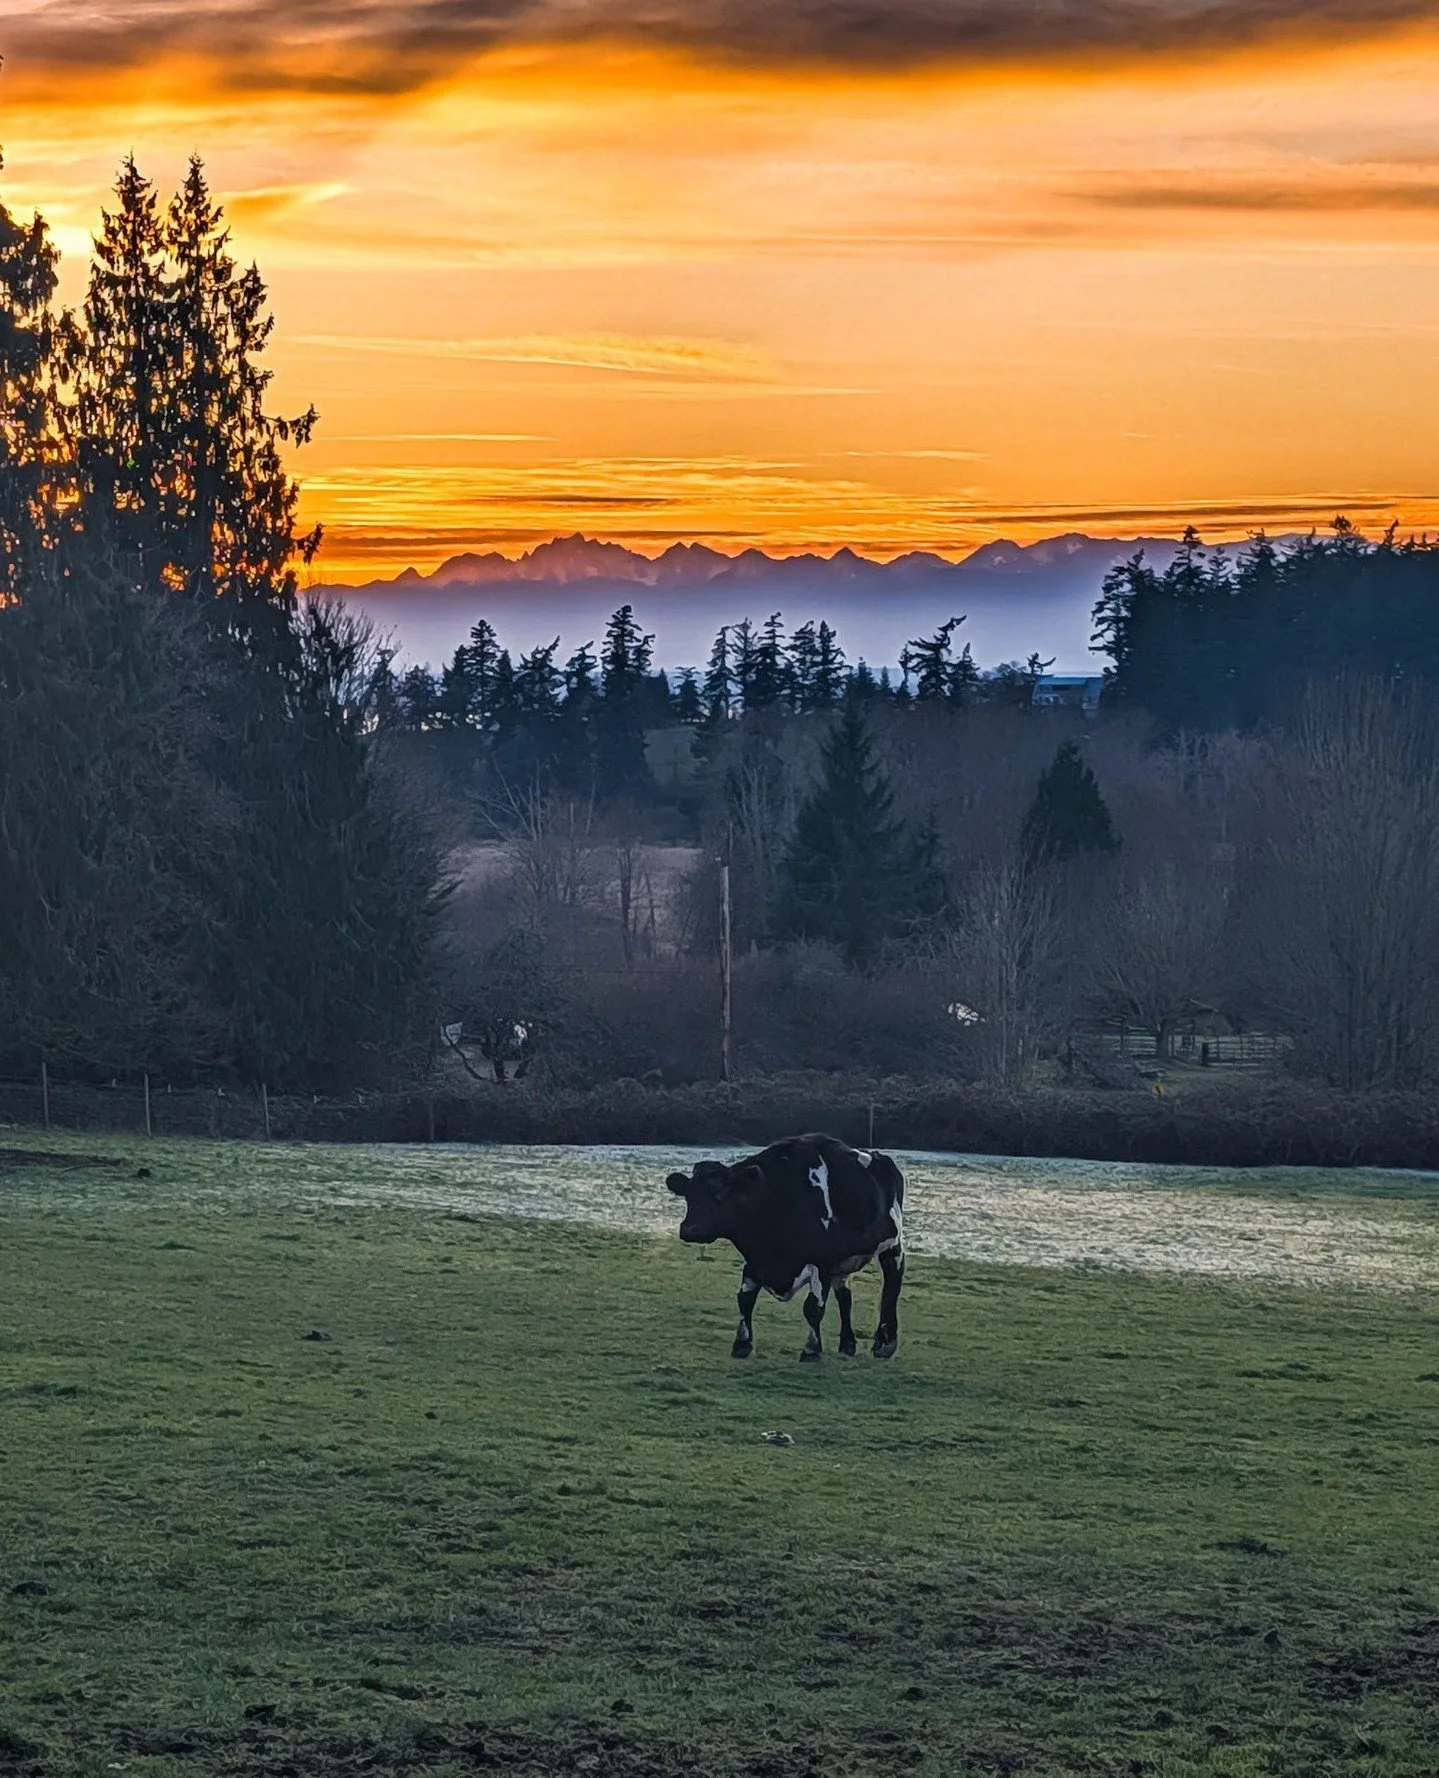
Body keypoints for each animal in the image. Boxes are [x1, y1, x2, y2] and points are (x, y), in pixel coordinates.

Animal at [666, 1133, 906, 1363]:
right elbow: (745, 1299)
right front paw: (742, 1345)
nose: (690, 1229)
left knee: (892, 1285)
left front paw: (811, 1350)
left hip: (893, 1245)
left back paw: (885, 1344)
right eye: (688, 1194)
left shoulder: (822, 1262)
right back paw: (847, 1345)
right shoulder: (756, 1260)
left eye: (721, 1193)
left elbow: (813, 1308)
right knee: (845, 1296)